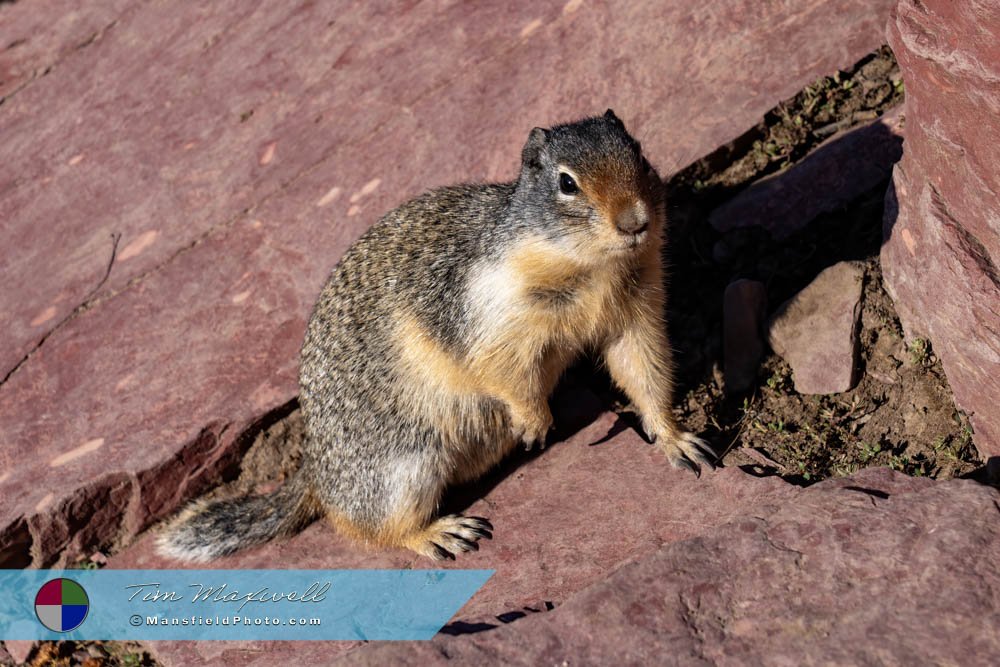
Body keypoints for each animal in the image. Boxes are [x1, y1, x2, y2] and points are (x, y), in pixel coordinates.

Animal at [158, 112, 712, 560]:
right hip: (407, 467)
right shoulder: (493, 314)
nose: (636, 221)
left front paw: (678, 440)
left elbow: (644, 369)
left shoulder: (634, 310)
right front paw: (535, 422)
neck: (591, 267)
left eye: (637, 150)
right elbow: (504, 371)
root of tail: (315, 470)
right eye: (567, 183)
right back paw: (441, 533)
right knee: (367, 529)